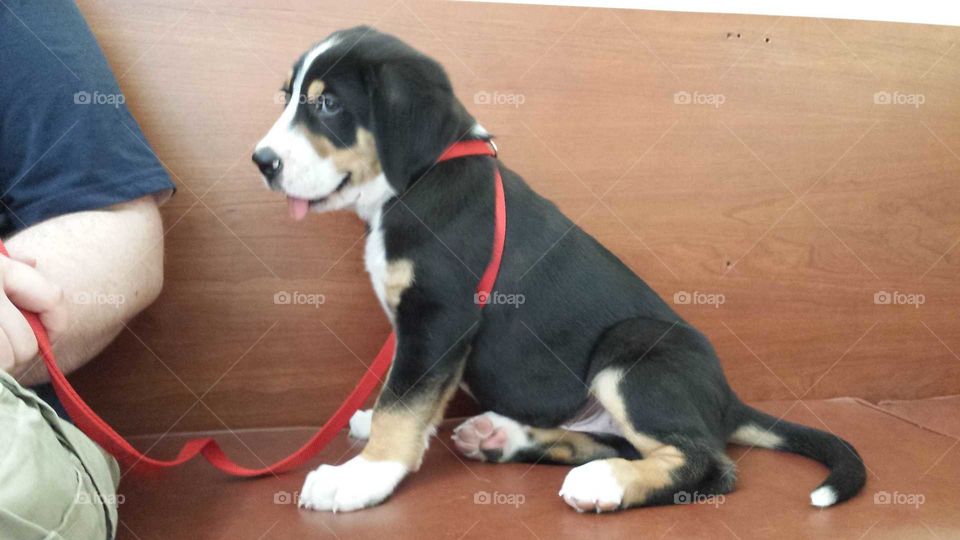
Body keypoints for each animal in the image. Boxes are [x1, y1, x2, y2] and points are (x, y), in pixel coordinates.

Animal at [251, 26, 868, 516]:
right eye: (290, 97)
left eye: (328, 106)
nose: (262, 163)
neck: (418, 183)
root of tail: (726, 397)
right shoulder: (422, 331)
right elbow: (405, 396)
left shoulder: (437, 318)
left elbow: (403, 402)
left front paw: (361, 477)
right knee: (614, 440)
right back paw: (503, 438)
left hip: (631, 353)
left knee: (708, 463)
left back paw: (605, 484)